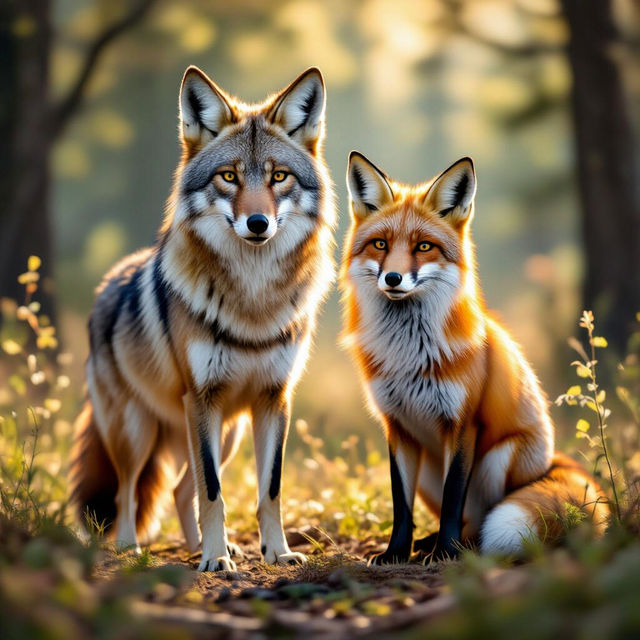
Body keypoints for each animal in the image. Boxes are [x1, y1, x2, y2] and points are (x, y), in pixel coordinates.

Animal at [70, 66, 336, 572]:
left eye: (279, 177)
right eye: (228, 176)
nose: (257, 223)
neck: (253, 301)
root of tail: (108, 280)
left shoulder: (274, 400)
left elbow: (269, 489)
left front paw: (276, 552)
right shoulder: (202, 398)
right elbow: (213, 492)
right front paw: (215, 559)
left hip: (225, 433)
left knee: (179, 490)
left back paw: (203, 548)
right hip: (138, 430)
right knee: (129, 491)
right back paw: (131, 546)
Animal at [340, 151, 610, 563]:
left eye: (424, 247)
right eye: (380, 244)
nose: (393, 279)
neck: (408, 355)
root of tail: (551, 461)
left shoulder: (463, 423)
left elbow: (454, 496)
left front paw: (446, 553)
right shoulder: (397, 427)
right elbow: (401, 504)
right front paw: (396, 553)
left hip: (501, 455)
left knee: (479, 517)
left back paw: (460, 547)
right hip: (428, 470)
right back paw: (428, 543)